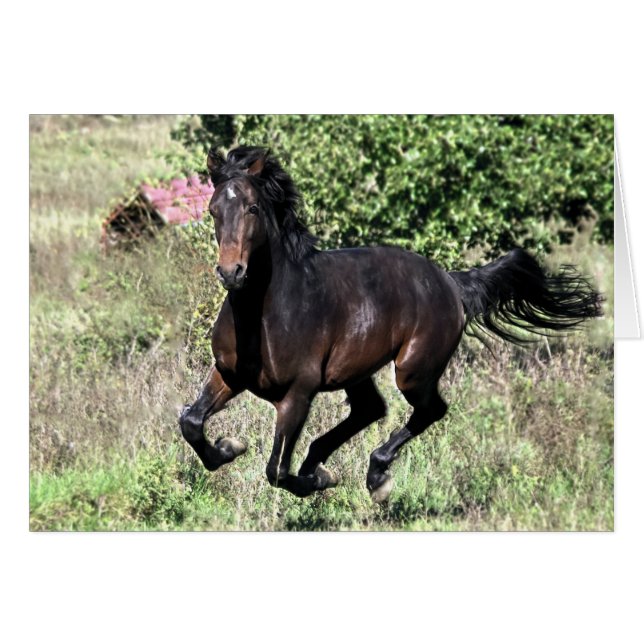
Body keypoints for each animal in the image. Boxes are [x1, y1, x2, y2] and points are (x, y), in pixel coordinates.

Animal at [179, 146, 602, 502]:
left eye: (252, 208)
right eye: (213, 210)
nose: (231, 273)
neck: (267, 313)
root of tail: (451, 282)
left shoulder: (298, 394)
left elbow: (276, 471)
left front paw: (318, 481)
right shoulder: (228, 374)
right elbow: (192, 422)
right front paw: (228, 448)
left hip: (413, 370)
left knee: (429, 411)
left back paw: (374, 476)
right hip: (357, 370)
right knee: (370, 410)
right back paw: (324, 463)